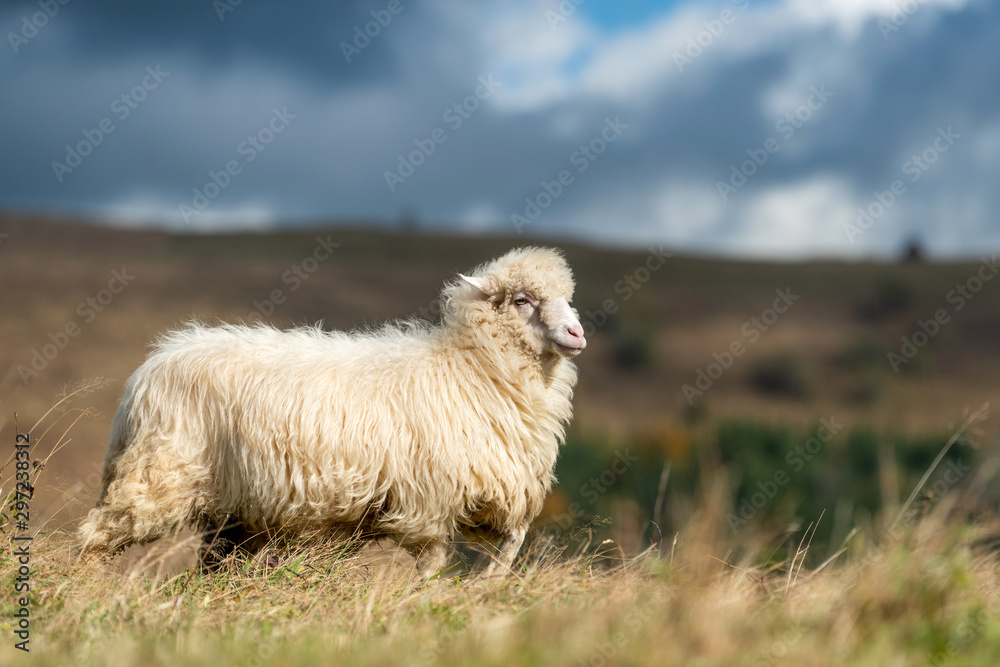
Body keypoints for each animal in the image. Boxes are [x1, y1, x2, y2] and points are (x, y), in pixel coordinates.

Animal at [82, 247, 588, 580]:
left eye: (569, 298)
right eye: (523, 300)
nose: (577, 333)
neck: (470, 368)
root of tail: (150, 366)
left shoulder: (490, 492)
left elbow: (513, 540)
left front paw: (486, 587)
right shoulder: (432, 500)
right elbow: (434, 561)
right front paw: (423, 600)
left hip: (232, 509)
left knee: (212, 562)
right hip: (159, 476)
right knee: (97, 534)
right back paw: (88, 586)